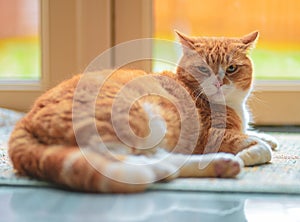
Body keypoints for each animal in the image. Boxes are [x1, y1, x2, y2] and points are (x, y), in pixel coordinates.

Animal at [8, 30, 276, 193]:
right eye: (202, 69)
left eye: (231, 68)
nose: (218, 83)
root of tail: (25, 120)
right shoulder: (211, 135)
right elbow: (258, 147)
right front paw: (251, 152)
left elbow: (258, 135)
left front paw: (268, 138)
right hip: (140, 119)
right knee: (130, 163)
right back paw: (222, 163)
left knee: (162, 160)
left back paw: (220, 165)